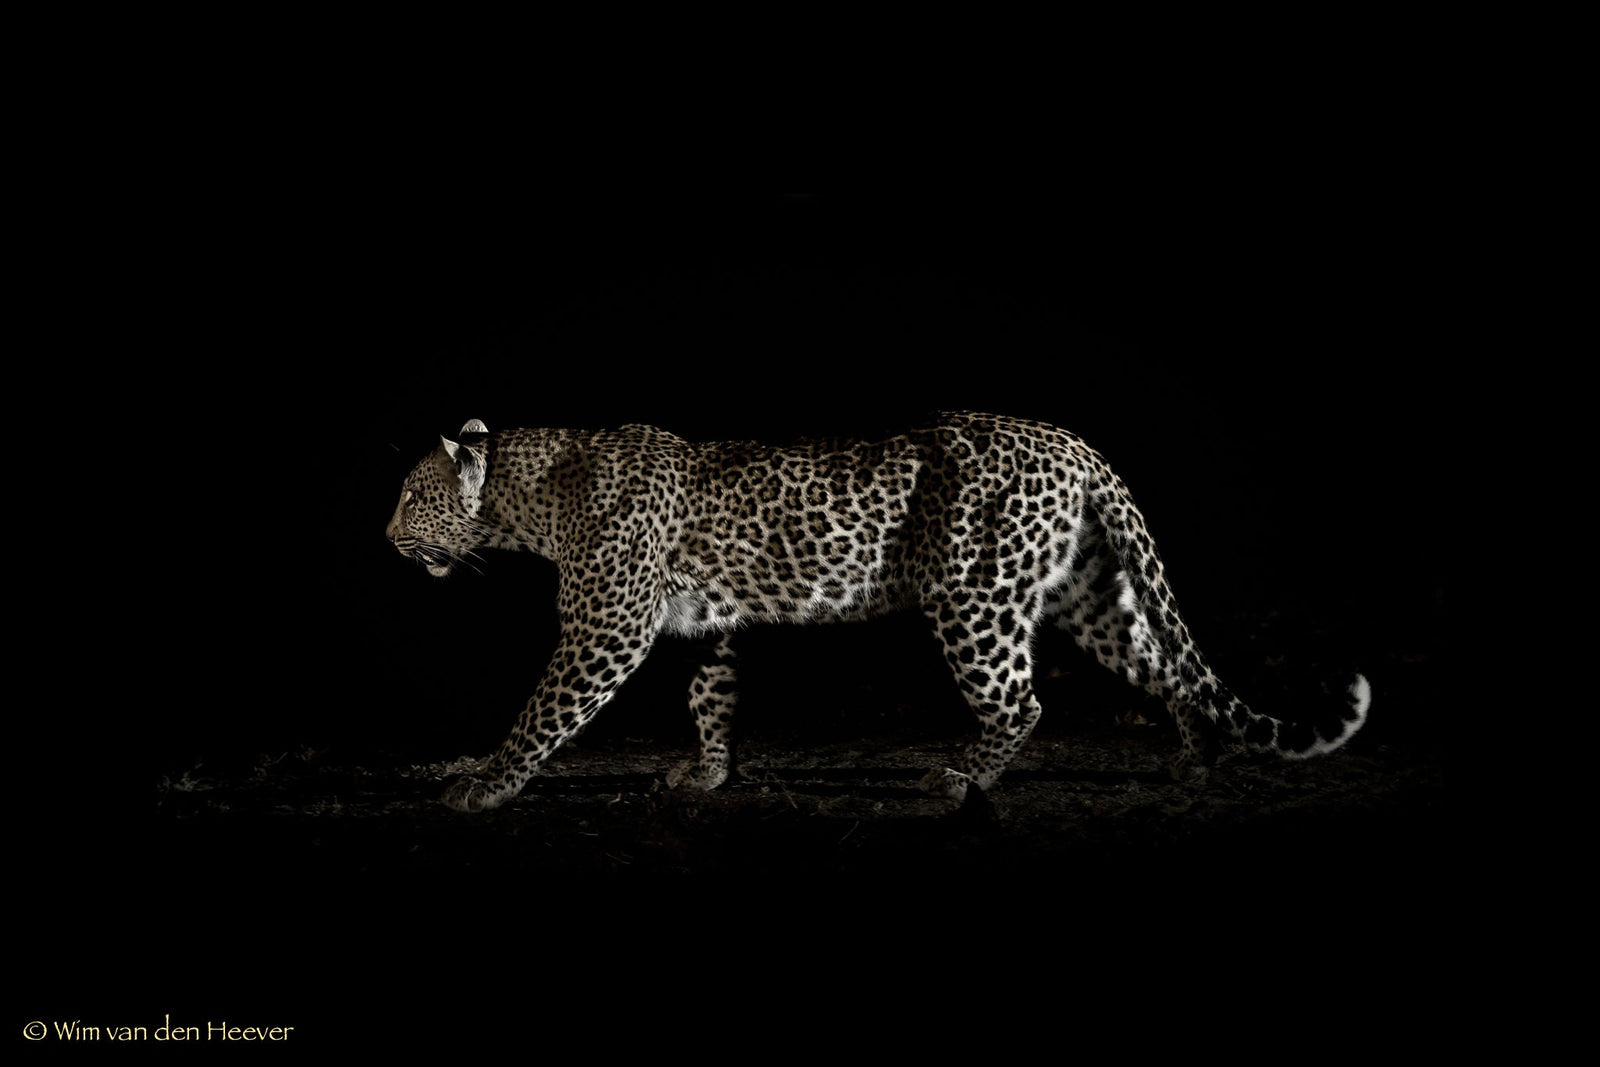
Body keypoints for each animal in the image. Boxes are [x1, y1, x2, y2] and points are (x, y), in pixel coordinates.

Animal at [386, 412, 1370, 813]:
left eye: (410, 495)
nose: (385, 534)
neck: (532, 498)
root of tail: (1075, 443)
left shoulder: (607, 629)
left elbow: (541, 711)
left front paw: (483, 782)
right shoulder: (706, 625)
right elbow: (711, 700)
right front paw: (708, 775)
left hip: (975, 595)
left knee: (1022, 698)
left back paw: (962, 777)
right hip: (1088, 590)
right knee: (1165, 665)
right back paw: (1197, 762)